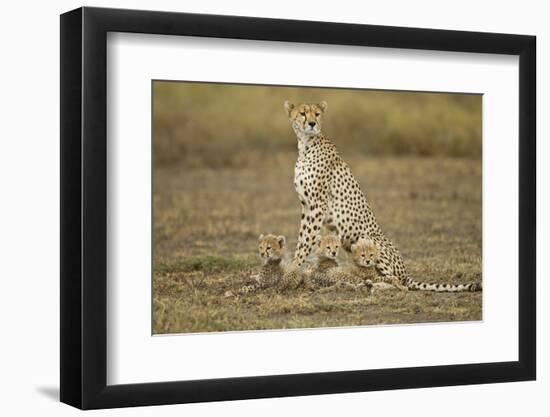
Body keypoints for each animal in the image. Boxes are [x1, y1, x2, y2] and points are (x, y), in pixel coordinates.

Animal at [284, 99, 484, 292]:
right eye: (302, 113)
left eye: (317, 114)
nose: (312, 123)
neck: (306, 144)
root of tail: (406, 273)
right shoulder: (306, 205)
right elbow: (304, 239)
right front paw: (297, 269)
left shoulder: (317, 206)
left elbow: (305, 241)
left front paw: (293, 271)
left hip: (371, 242)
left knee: (398, 282)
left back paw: (373, 286)